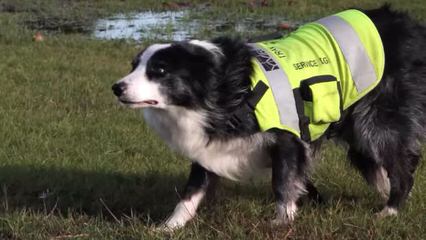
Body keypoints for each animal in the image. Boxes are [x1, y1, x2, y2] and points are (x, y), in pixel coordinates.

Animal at [112, 6, 426, 230]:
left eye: (159, 70)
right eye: (134, 66)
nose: (117, 87)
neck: (224, 87)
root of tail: (411, 27)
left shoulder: (287, 135)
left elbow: (283, 180)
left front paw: (282, 221)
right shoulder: (211, 143)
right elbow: (192, 190)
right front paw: (169, 226)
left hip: (376, 121)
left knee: (400, 165)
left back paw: (390, 210)